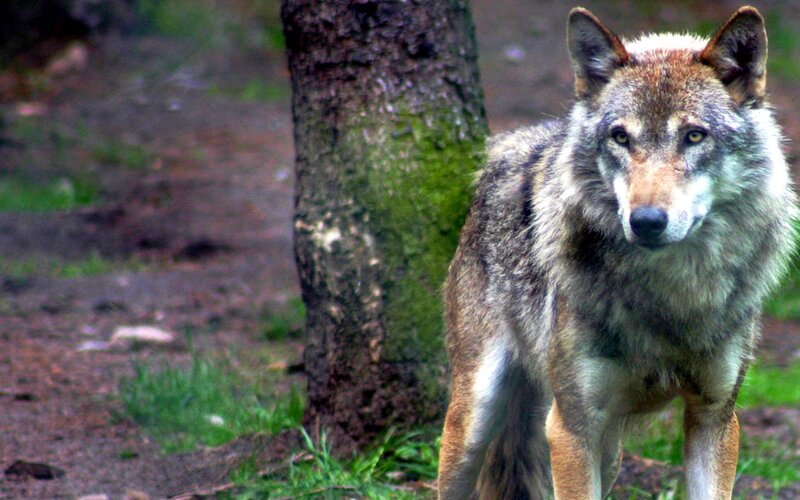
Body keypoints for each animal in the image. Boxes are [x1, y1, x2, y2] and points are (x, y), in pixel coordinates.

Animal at [437, 6, 796, 499]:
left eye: (694, 136)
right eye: (621, 138)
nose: (646, 221)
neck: (672, 294)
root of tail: (512, 144)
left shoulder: (716, 418)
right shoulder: (571, 428)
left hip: (609, 452)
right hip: (475, 421)